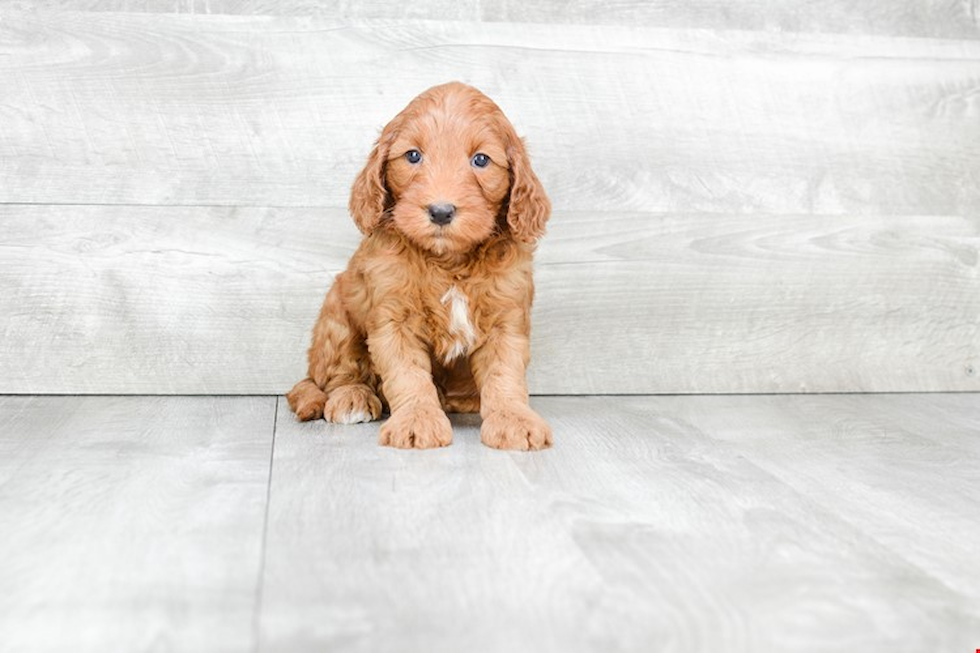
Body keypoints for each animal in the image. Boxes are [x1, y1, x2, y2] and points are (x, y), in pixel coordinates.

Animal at [290, 80, 552, 448]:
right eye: (413, 155)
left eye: (481, 160)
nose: (441, 211)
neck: (448, 261)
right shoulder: (393, 319)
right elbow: (408, 375)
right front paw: (417, 420)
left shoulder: (506, 318)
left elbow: (505, 375)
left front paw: (514, 419)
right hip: (336, 310)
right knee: (335, 375)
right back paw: (352, 398)